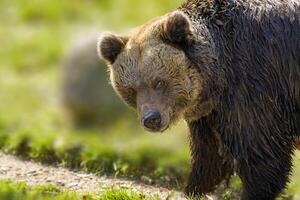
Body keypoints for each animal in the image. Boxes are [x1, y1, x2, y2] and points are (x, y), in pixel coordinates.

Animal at [97, 0, 298, 199]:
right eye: (131, 89)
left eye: (159, 82)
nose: (151, 118)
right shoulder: (209, 113)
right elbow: (209, 154)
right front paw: (195, 188)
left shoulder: (253, 82)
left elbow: (261, 149)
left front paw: (252, 191)